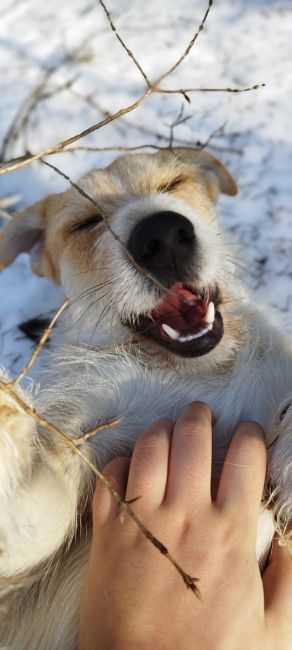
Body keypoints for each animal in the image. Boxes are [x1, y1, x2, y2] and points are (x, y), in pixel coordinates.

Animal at [0, 148, 292, 648]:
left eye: (174, 183)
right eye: (85, 223)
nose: (162, 236)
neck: (206, 371)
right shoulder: (81, 439)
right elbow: (37, 513)